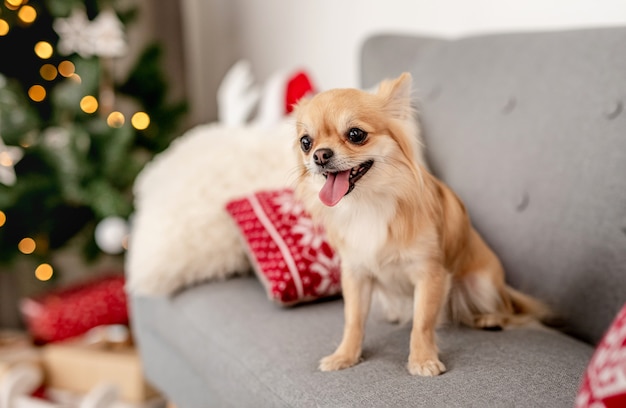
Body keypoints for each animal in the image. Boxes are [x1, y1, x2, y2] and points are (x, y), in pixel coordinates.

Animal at [290, 72, 548, 376]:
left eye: (355, 135)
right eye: (306, 142)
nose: (319, 155)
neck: (368, 203)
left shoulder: (429, 273)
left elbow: (422, 322)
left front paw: (422, 360)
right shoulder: (356, 274)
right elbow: (353, 319)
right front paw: (345, 355)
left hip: (482, 283)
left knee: (507, 311)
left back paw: (490, 318)